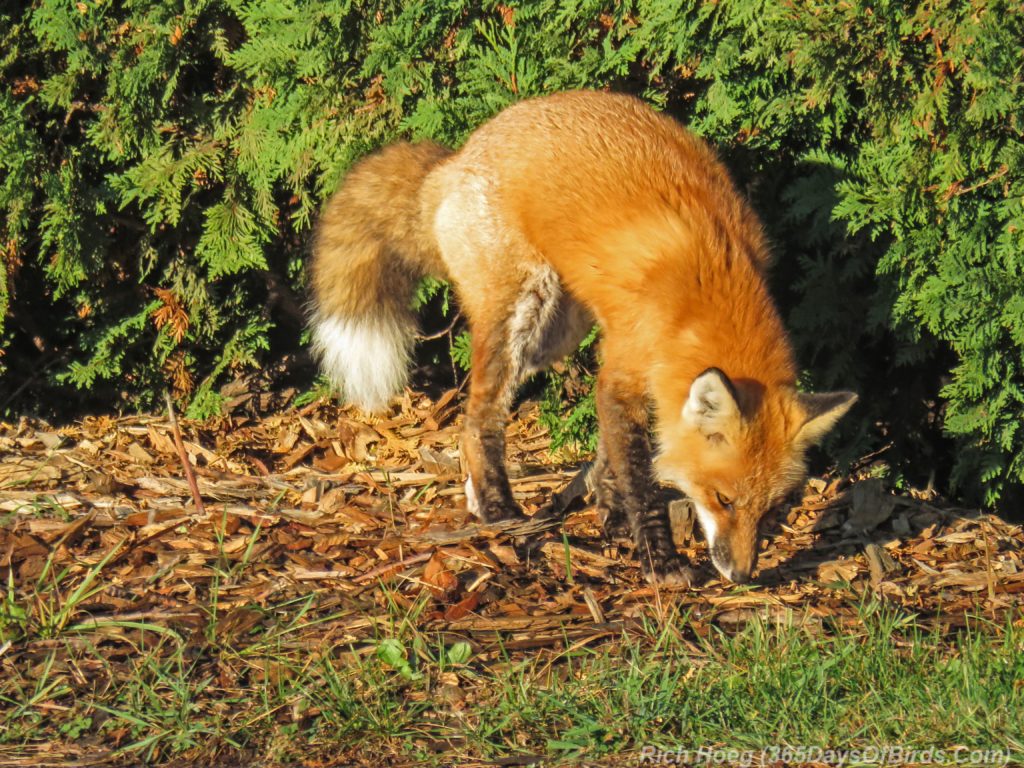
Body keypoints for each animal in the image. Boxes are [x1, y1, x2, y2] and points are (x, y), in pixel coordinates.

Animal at [311, 91, 856, 581]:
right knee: (477, 417)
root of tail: (455, 160)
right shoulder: (626, 364)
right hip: (523, 310)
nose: (742, 576)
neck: (706, 289)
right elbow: (640, 477)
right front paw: (660, 561)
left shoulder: (626, 366)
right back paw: (497, 511)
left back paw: (476, 498)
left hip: (557, 334)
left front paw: (609, 512)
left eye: (771, 509)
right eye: (723, 499)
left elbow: (611, 456)